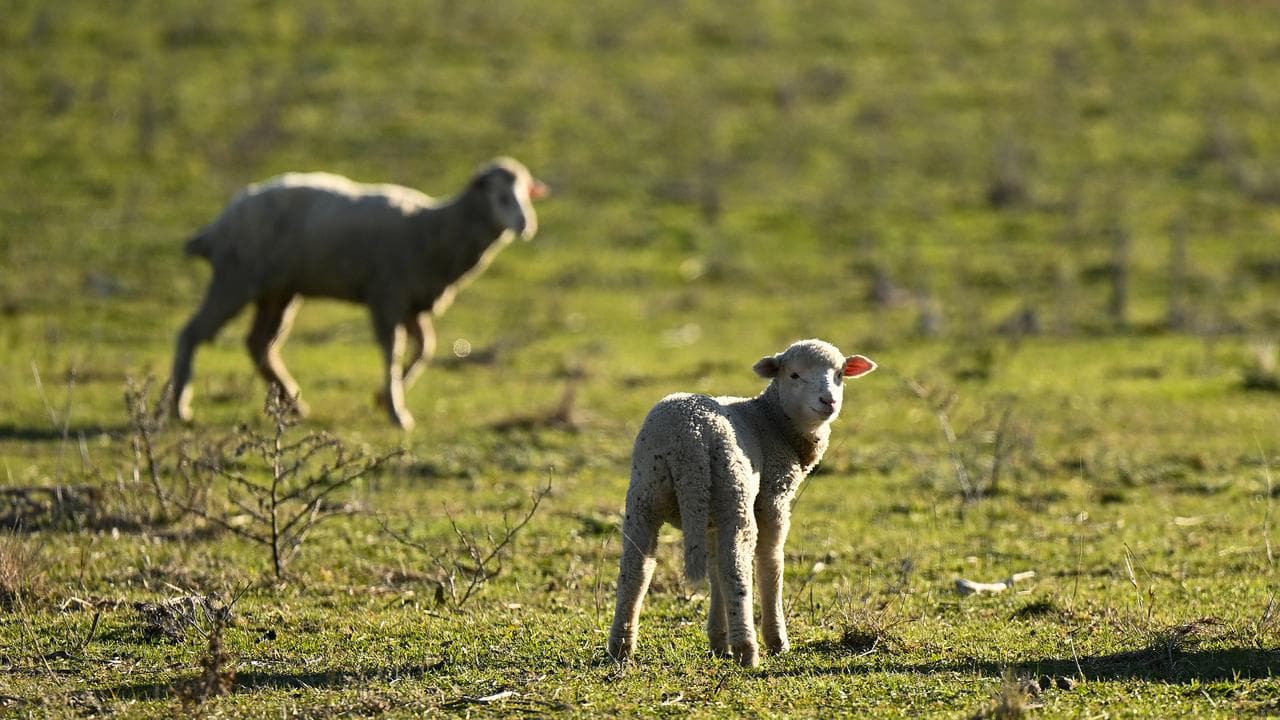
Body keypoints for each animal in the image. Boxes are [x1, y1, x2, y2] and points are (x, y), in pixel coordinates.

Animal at [170, 157, 549, 429]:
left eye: (526, 194)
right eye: (500, 196)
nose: (526, 225)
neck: (436, 228)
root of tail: (217, 225)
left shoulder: (412, 302)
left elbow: (425, 349)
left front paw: (385, 397)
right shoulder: (387, 295)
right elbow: (393, 351)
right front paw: (397, 411)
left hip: (277, 290)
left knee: (259, 343)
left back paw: (294, 403)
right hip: (236, 278)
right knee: (192, 333)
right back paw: (179, 407)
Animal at [606, 339, 877, 667]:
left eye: (839, 374)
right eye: (794, 375)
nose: (829, 401)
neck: (772, 420)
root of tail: (688, 439)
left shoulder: (710, 519)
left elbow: (713, 570)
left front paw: (717, 641)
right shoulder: (774, 496)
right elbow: (770, 564)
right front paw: (776, 641)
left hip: (648, 493)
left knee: (636, 568)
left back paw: (621, 648)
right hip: (734, 492)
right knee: (736, 567)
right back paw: (748, 650)